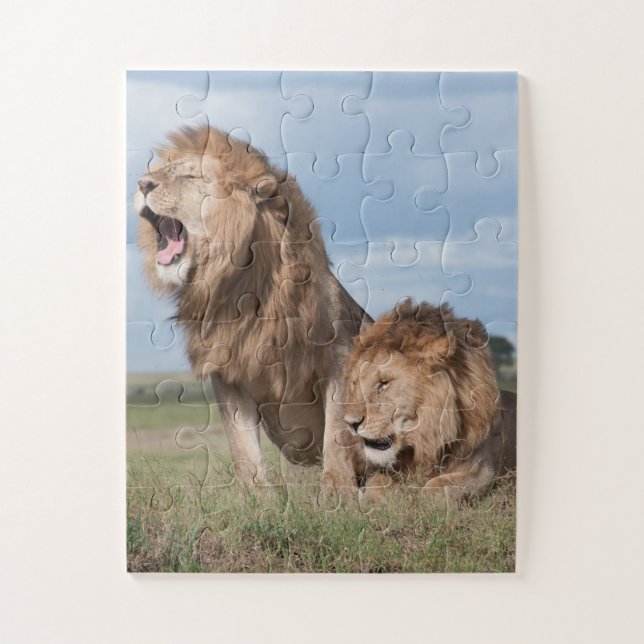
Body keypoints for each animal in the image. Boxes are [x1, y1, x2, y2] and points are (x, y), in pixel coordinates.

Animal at [134, 126, 366, 489]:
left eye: (190, 176)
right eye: (160, 172)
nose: (142, 184)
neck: (240, 289)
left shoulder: (339, 358)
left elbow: (336, 437)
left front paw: (337, 495)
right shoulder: (228, 376)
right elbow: (245, 453)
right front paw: (262, 498)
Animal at [343, 299, 516, 503]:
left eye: (384, 383)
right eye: (355, 383)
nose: (350, 424)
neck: (426, 438)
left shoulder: (483, 470)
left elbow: (437, 487)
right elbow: (377, 482)